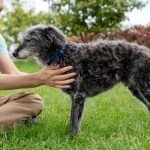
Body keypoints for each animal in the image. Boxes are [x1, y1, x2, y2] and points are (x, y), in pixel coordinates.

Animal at [12, 24, 150, 135]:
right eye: (23, 39)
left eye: (29, 40)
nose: (13, 53)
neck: (62, 54)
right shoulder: (76, 97)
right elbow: (74, 120)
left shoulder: (78, 96)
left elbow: (74, 122)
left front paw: (71, 139)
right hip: (136, 90)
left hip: (145, 88)